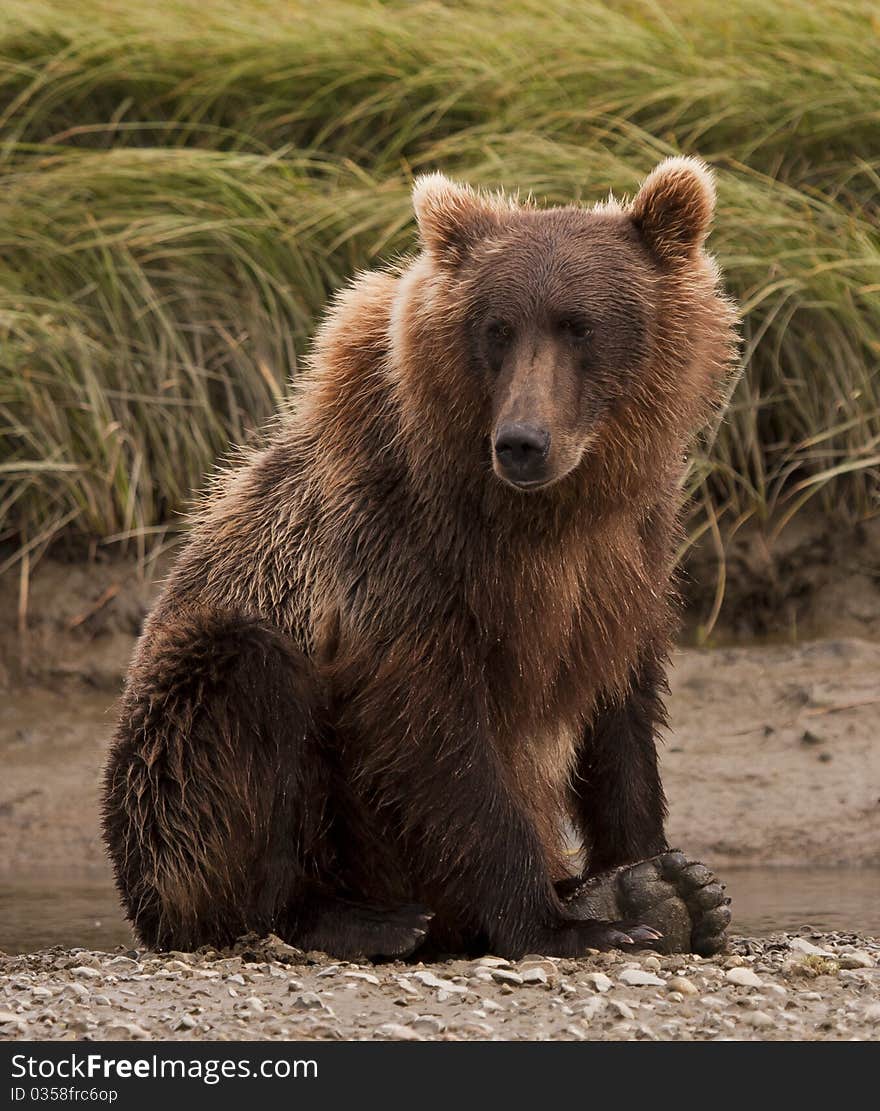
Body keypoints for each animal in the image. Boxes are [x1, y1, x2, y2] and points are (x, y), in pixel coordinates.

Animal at [101, 156, 737, 964]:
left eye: (580, 326)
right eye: (497, 328)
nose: (522, 442)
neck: (543, 515)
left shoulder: (626, 557)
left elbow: (619, 712)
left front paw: (660, 879)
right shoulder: (399, 554)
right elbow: (438, 739)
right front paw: (567, 922)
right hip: (167, 779)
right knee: (247, 688)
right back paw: (351, 918)